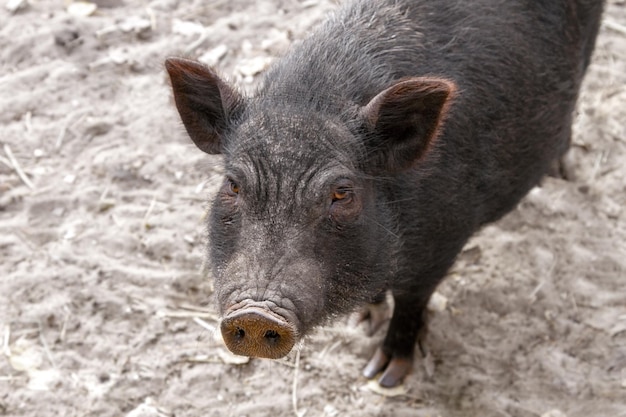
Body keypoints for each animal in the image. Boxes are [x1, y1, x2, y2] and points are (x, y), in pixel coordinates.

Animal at [165, 0, 600, 386]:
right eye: (233, 184)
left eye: (342, 194)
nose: (255, 315)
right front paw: (363, 323)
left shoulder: (444, 239)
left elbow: (411, 301)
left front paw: (383, 375)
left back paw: (561, 172)